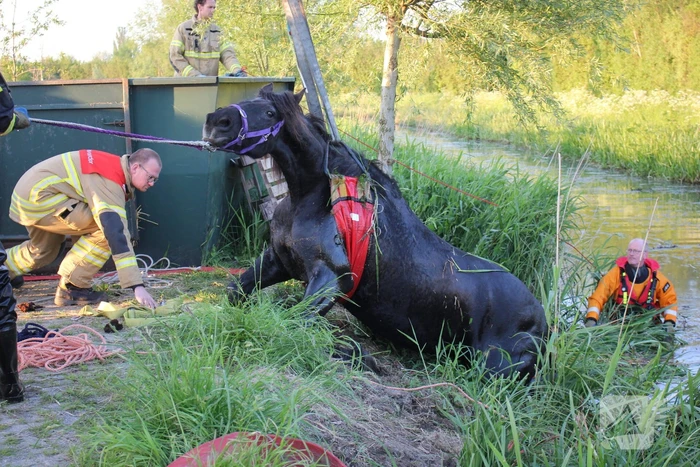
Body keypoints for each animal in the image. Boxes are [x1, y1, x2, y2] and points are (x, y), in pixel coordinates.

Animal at [203, 84, 548, 380]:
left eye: (271, 113)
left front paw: (356, 355)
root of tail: (542, 319)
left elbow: (296, 320)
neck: (315, 198)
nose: (217, 122)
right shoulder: (278, 260)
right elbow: (236, 292)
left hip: (493, 367)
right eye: (247, 100)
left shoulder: (333, 277)